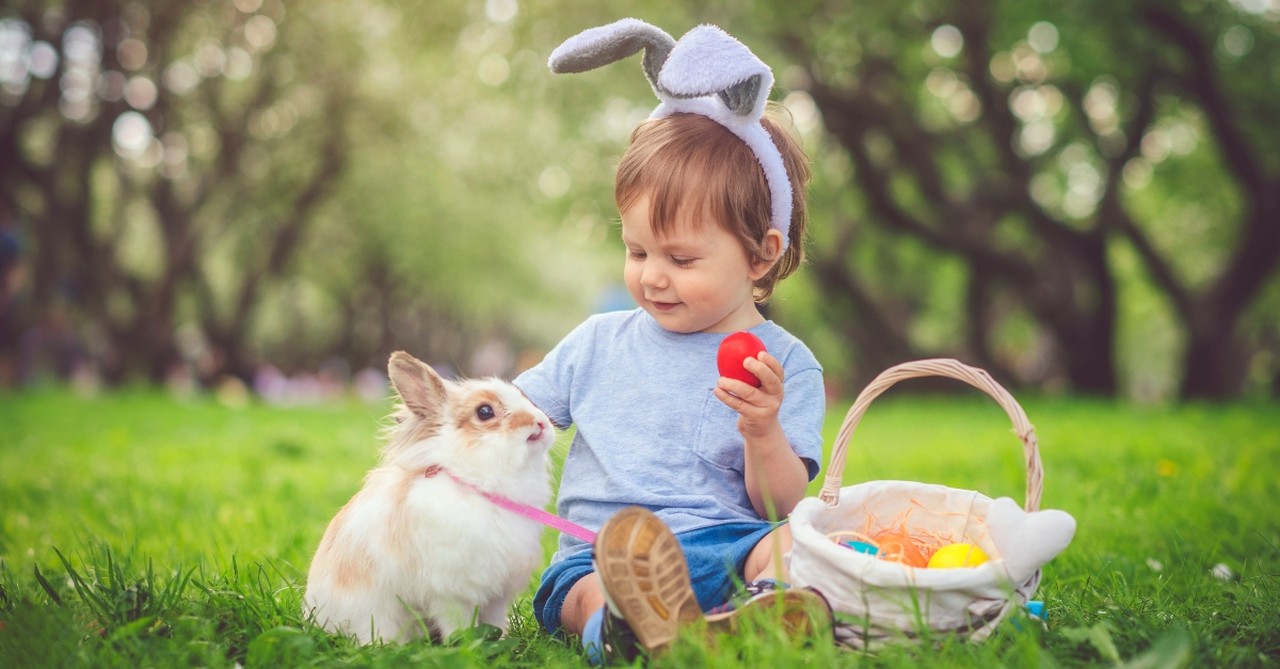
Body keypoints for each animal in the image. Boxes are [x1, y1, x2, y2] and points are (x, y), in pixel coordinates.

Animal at [307, 350, 558, 644]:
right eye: (485, 412)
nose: (541, 422)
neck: (473, 482)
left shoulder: (498, 593)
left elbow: (495, 621)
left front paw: (501, 641)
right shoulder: (453, 593)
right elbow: (459, 624)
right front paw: (467, 644)